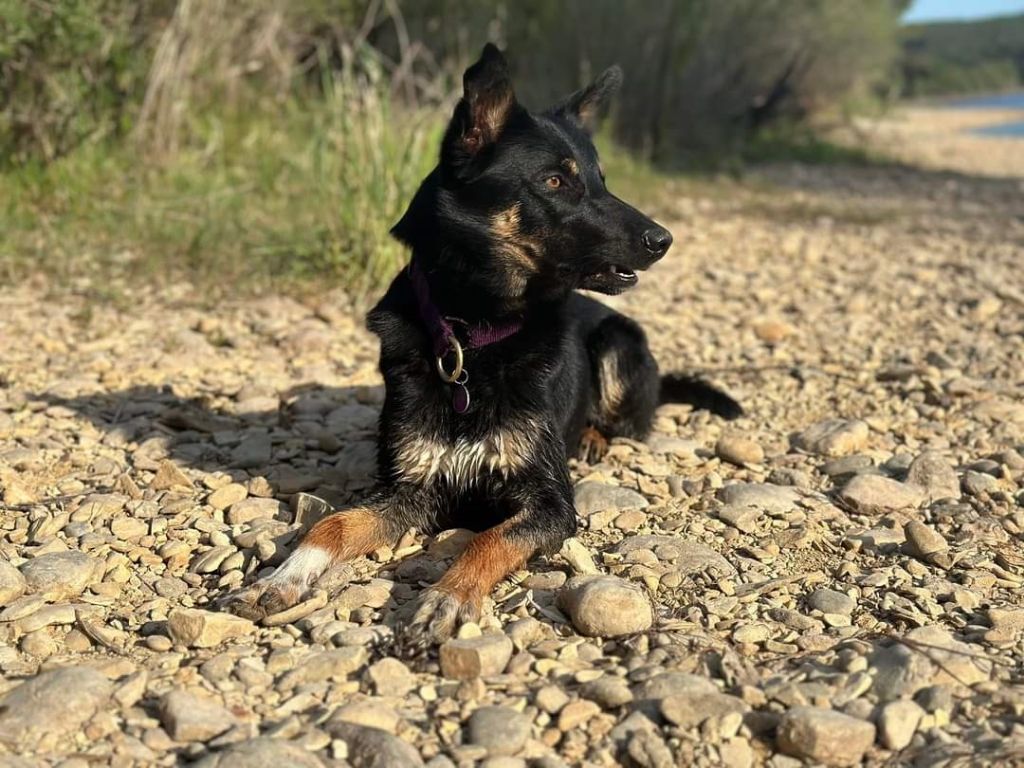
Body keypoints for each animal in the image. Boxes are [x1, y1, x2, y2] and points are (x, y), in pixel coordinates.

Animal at [228, 41, 741, 643]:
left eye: (602, 180)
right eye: (555, 182)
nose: (663, 240)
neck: (474, 334)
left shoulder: (550, 503)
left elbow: (488, 539)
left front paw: (449, 596)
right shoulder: (410, 490)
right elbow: (332, 525)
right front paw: (281, 578)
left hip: (619, 342)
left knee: (631, 421)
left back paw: (595, 435)